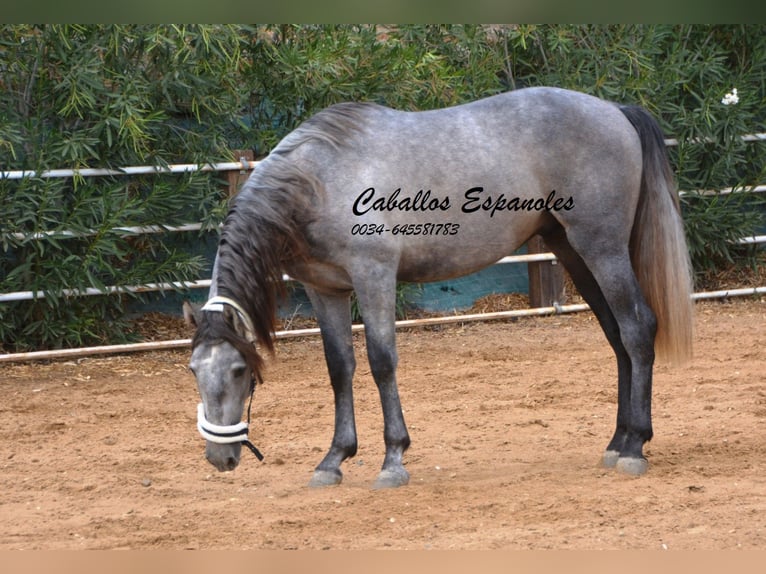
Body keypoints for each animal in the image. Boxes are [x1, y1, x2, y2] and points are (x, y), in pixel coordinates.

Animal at [186, 88, 696, 492]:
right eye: (194, 370)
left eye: (239, 371)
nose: (219, 458)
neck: (317, 180)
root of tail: (614, 109)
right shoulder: (323, 289)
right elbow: (340, 368)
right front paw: (333, 460)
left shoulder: (373, 276)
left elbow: (381, 362)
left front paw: (393, 460)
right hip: (571, 250)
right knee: (616, 337)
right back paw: (616, 441)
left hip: (602, 248)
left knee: (637, 328)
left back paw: (635, 447)